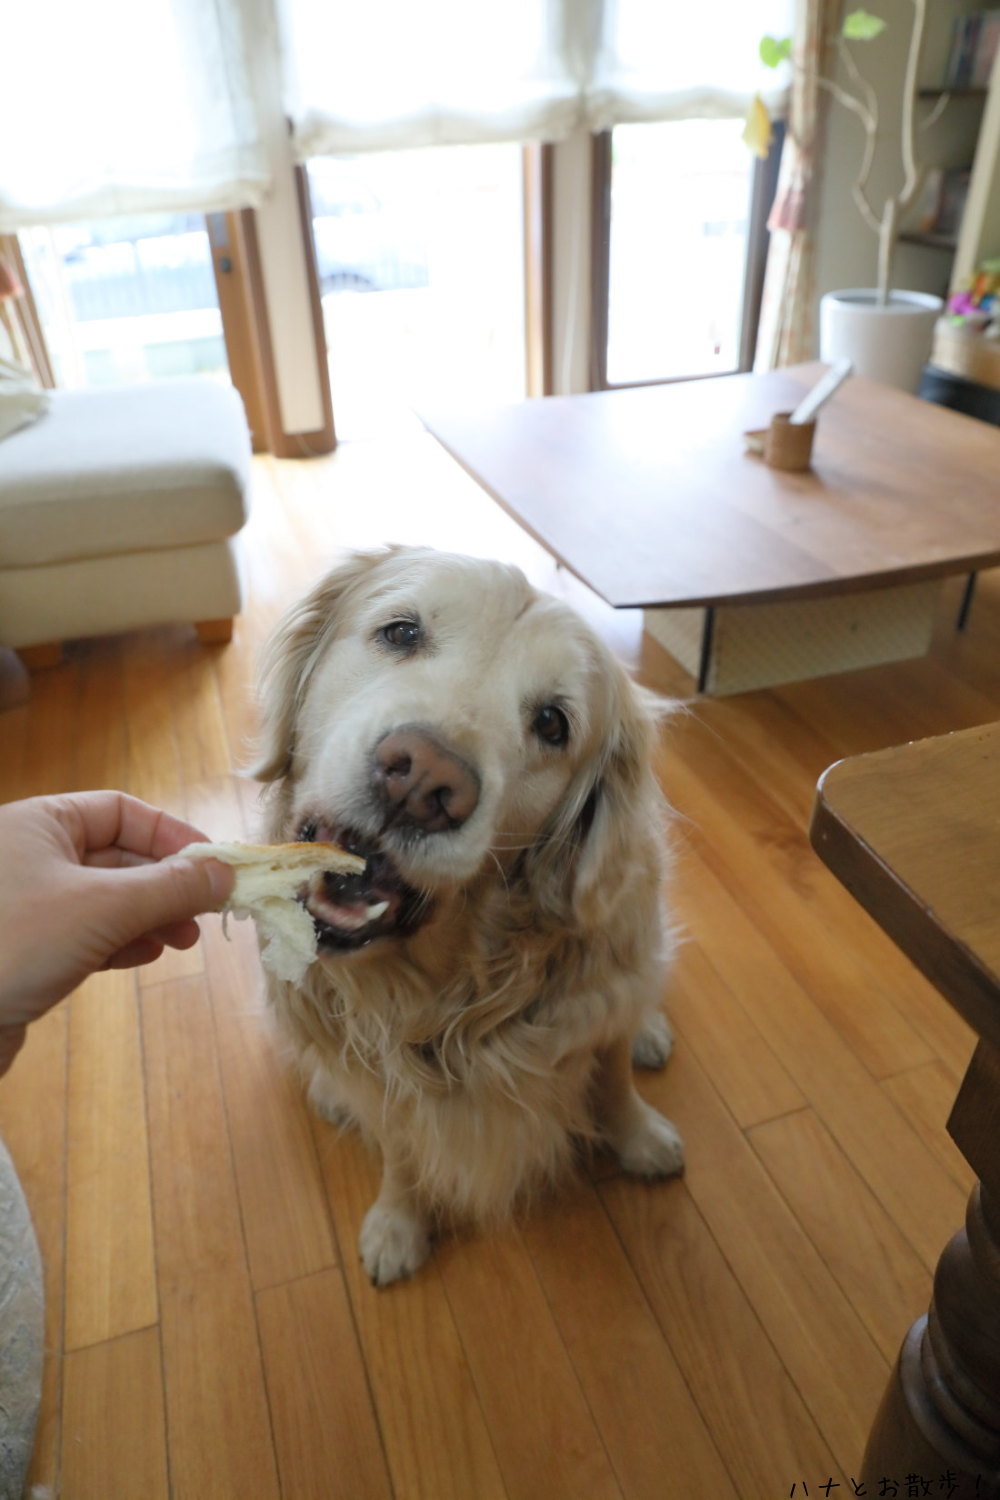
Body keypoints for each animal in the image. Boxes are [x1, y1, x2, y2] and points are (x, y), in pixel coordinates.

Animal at [254, 552, 683, 1290]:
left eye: (552, 723)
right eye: (400, 632)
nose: (423, 780)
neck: (447, 993)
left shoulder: (600, 1006)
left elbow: (613, 1076)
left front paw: (640, 1138)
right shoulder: (381, 1075)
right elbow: (399, 1146)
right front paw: (398, 1223)